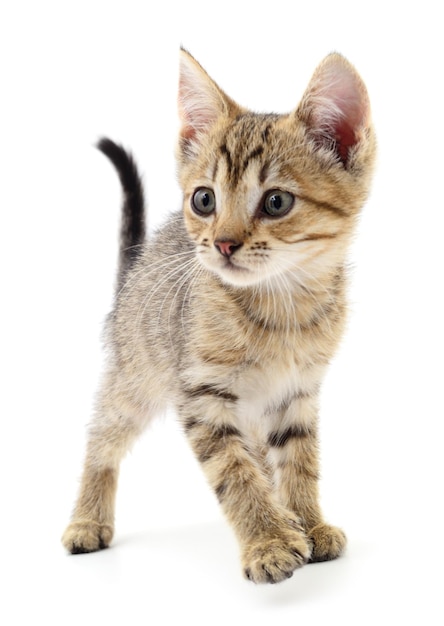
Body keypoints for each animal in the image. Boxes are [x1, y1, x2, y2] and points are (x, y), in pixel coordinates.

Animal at [61, 47, 374, 580]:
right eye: (204, 199)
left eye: (276, 201)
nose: (224, 244)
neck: (280, 306)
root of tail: (137, 266)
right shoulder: (201, 394)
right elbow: (234, 472)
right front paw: (268, 540)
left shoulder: (297, 393)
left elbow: (299, 461)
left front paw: (307, 521)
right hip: (135, 377)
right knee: (101, 437)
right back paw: (87, 518)